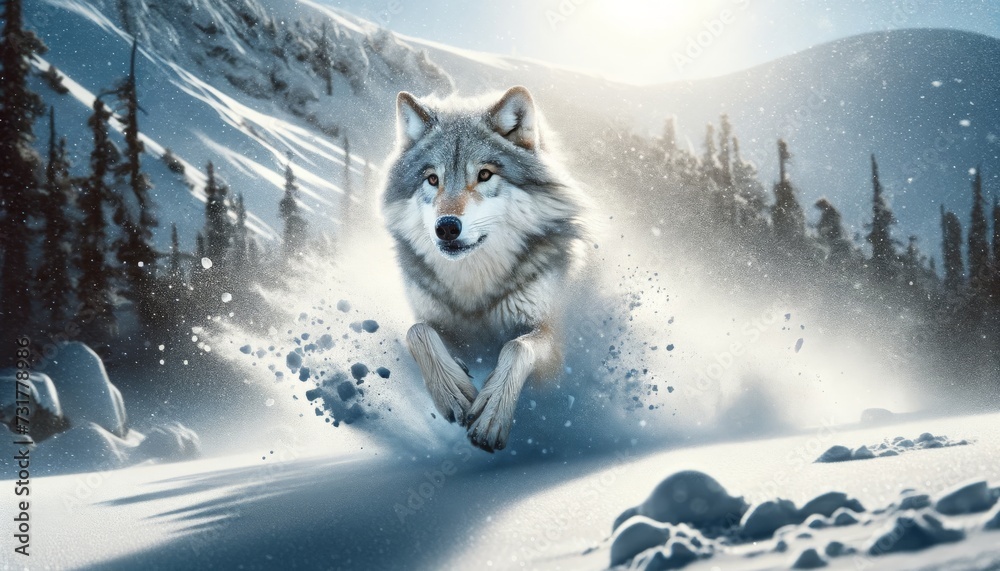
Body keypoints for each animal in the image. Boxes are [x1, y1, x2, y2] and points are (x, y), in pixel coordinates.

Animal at [381, 86, 590, 452]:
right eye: (432, 179)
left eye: (484, 175)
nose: (446, 227)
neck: (472, 286)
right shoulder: (435, 322)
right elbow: (418, 332)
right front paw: (453, 392)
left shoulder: (552, 341)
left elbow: (516, 347)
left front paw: (491, 416)